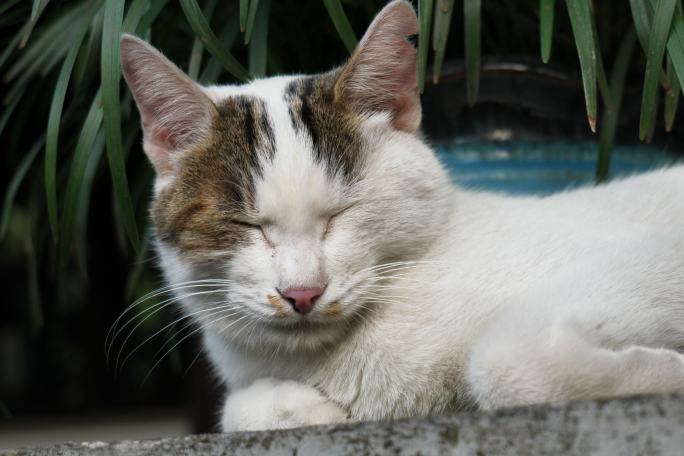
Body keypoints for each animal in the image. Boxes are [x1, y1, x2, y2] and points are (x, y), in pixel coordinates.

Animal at [117, 0, 684, 432]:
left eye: (340, 213)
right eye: (247, 225)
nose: (302, 293)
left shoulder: (652, 259)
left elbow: (503, 362)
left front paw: (670, 375)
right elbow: (241, 409)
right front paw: (302, 405)